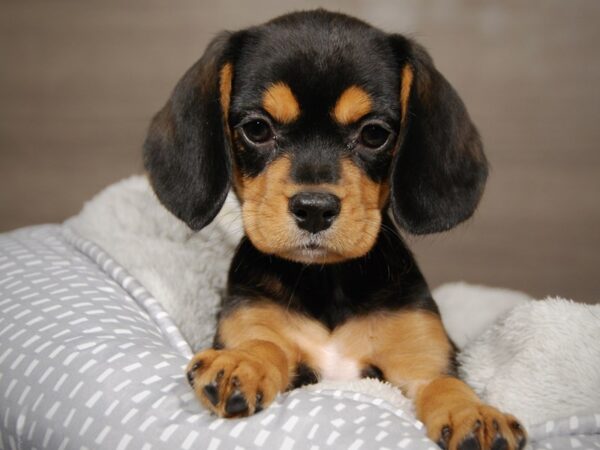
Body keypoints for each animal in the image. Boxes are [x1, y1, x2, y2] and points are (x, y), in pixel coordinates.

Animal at [144, 9, 524, 450]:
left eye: (374, 133)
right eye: (257, 129)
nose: (314, 209)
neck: (325, 280)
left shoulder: (422, 357)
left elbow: (445, 385)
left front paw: (474, 414)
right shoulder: (253, 322)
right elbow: (263, 344)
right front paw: (241, 364)